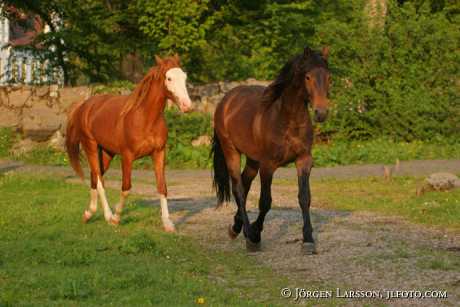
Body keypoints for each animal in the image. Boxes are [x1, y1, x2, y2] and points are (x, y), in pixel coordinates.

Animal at [64, 56, 190, 233]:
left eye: (184, 77)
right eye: (169, 78)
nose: (187, 106)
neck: (145, 118)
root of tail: (84, 106)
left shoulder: (159, 153)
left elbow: (162, 187)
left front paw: (168, 224)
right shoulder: (127, 156)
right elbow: (126, 187)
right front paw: (116, 218)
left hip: (107, 153)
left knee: (94, 177)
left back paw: (88, 214)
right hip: (91, 147)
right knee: (99, 180)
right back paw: (107, 216)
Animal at [212, 45, 330, 253]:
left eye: (328, 77)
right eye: (308, 77)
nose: (321, 113)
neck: (287, 121)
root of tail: (225, 100)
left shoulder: (304, 161)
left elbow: (304, 198)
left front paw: (308, 240)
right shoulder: (268, 166)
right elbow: (265, 202)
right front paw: (255, 235)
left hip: (253, 160)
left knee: (245, 183)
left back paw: (236, 227)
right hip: (231, 151)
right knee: (238, 189)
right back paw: (246, 232)